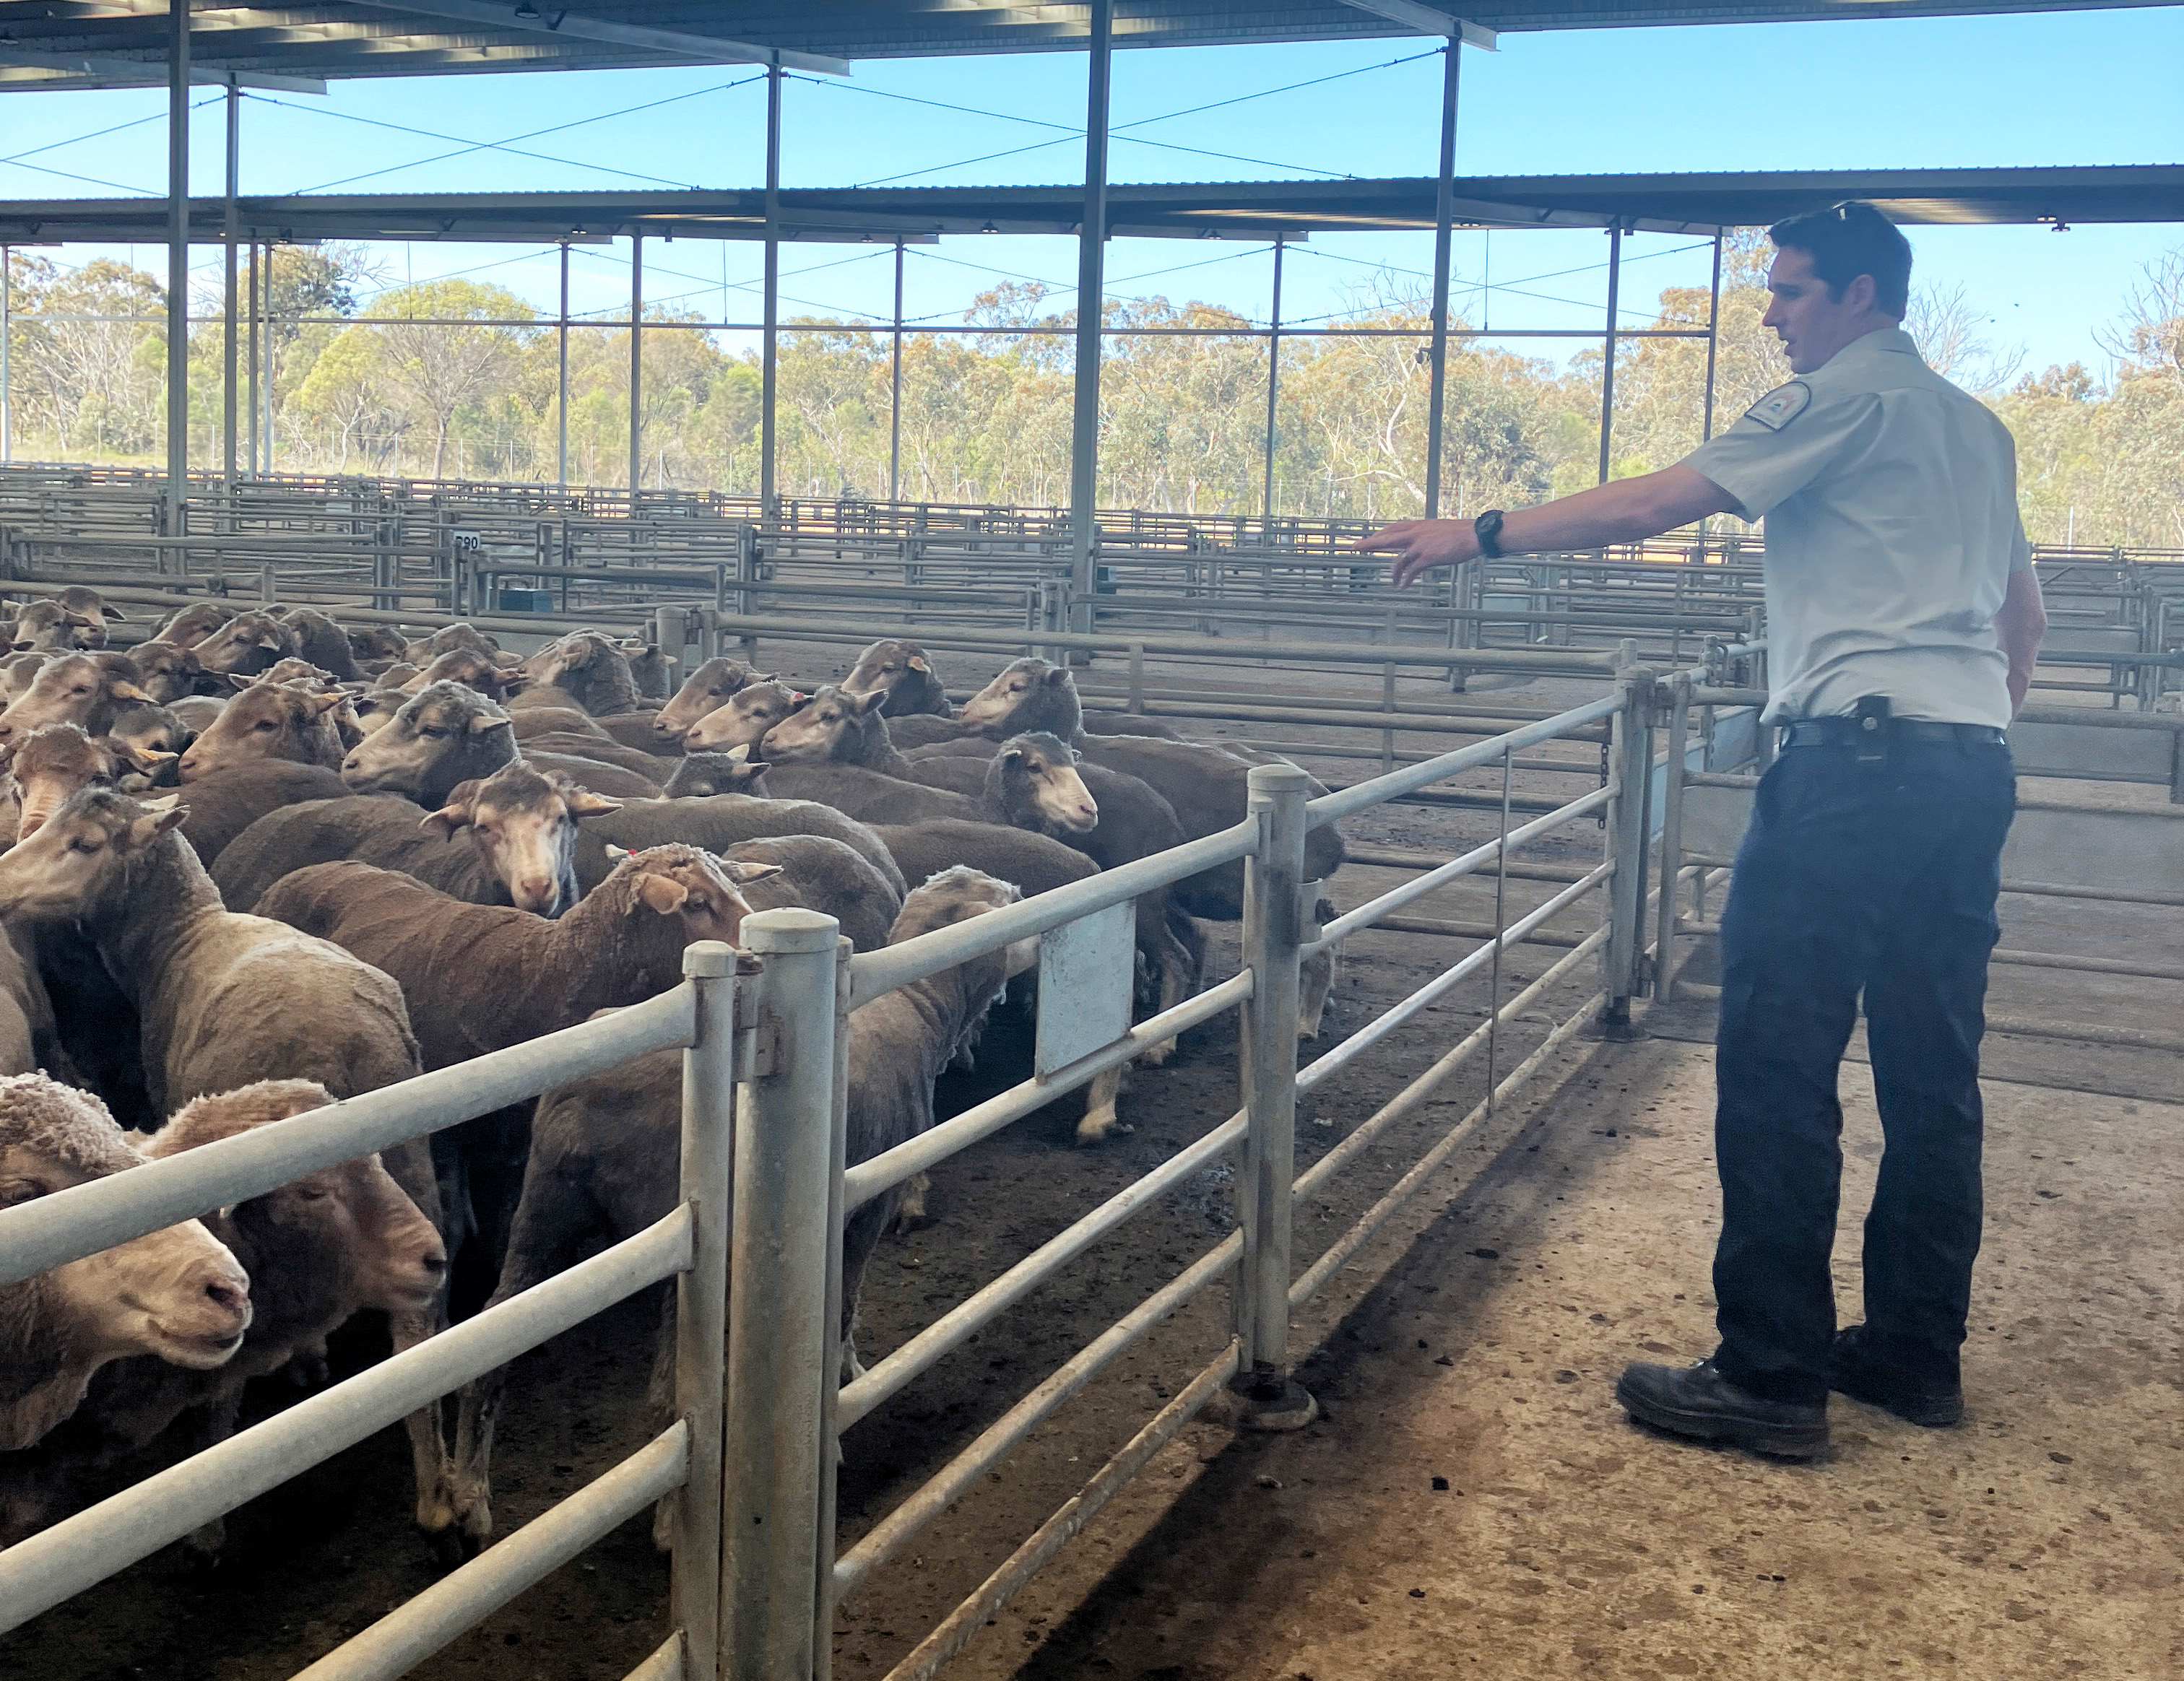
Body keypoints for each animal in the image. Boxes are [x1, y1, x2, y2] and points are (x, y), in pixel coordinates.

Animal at [444, 865, 1033, 1546]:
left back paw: (470, 1495)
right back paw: (672, 1528)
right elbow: (846, 1303)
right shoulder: (869, 1203)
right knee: (667, 1390)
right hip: (679, 1226)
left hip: (546, 1204)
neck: (917, 1005)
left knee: (495, 1336)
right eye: (1006, 899)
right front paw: (848, 1383)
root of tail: (595, 1087)